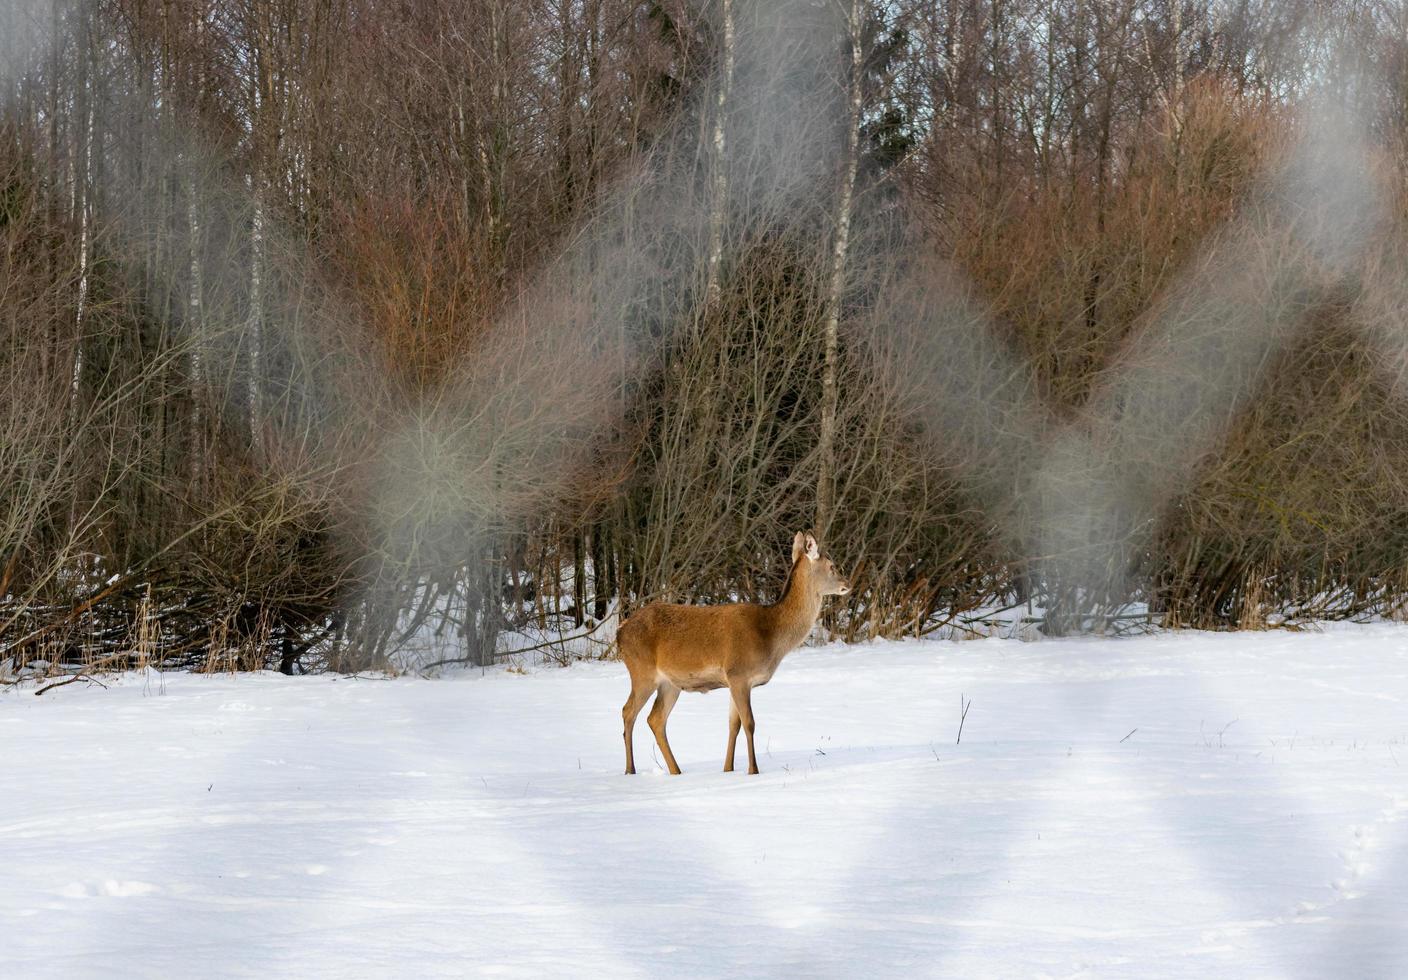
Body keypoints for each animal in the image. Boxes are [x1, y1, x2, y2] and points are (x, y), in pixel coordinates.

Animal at [616, 532, 844, 777]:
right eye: (832, 566)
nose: (847, 584)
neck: (771, 636)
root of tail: (620, 631)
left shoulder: (736, 681)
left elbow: (733, 724)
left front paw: (728, 769)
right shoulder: (738, 674)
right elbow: (749, 723)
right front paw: (753, 771)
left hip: (670, 683)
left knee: (655, 718)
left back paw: (676, 771)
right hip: (642, 671)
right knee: (628, 711)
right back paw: (630, 770)